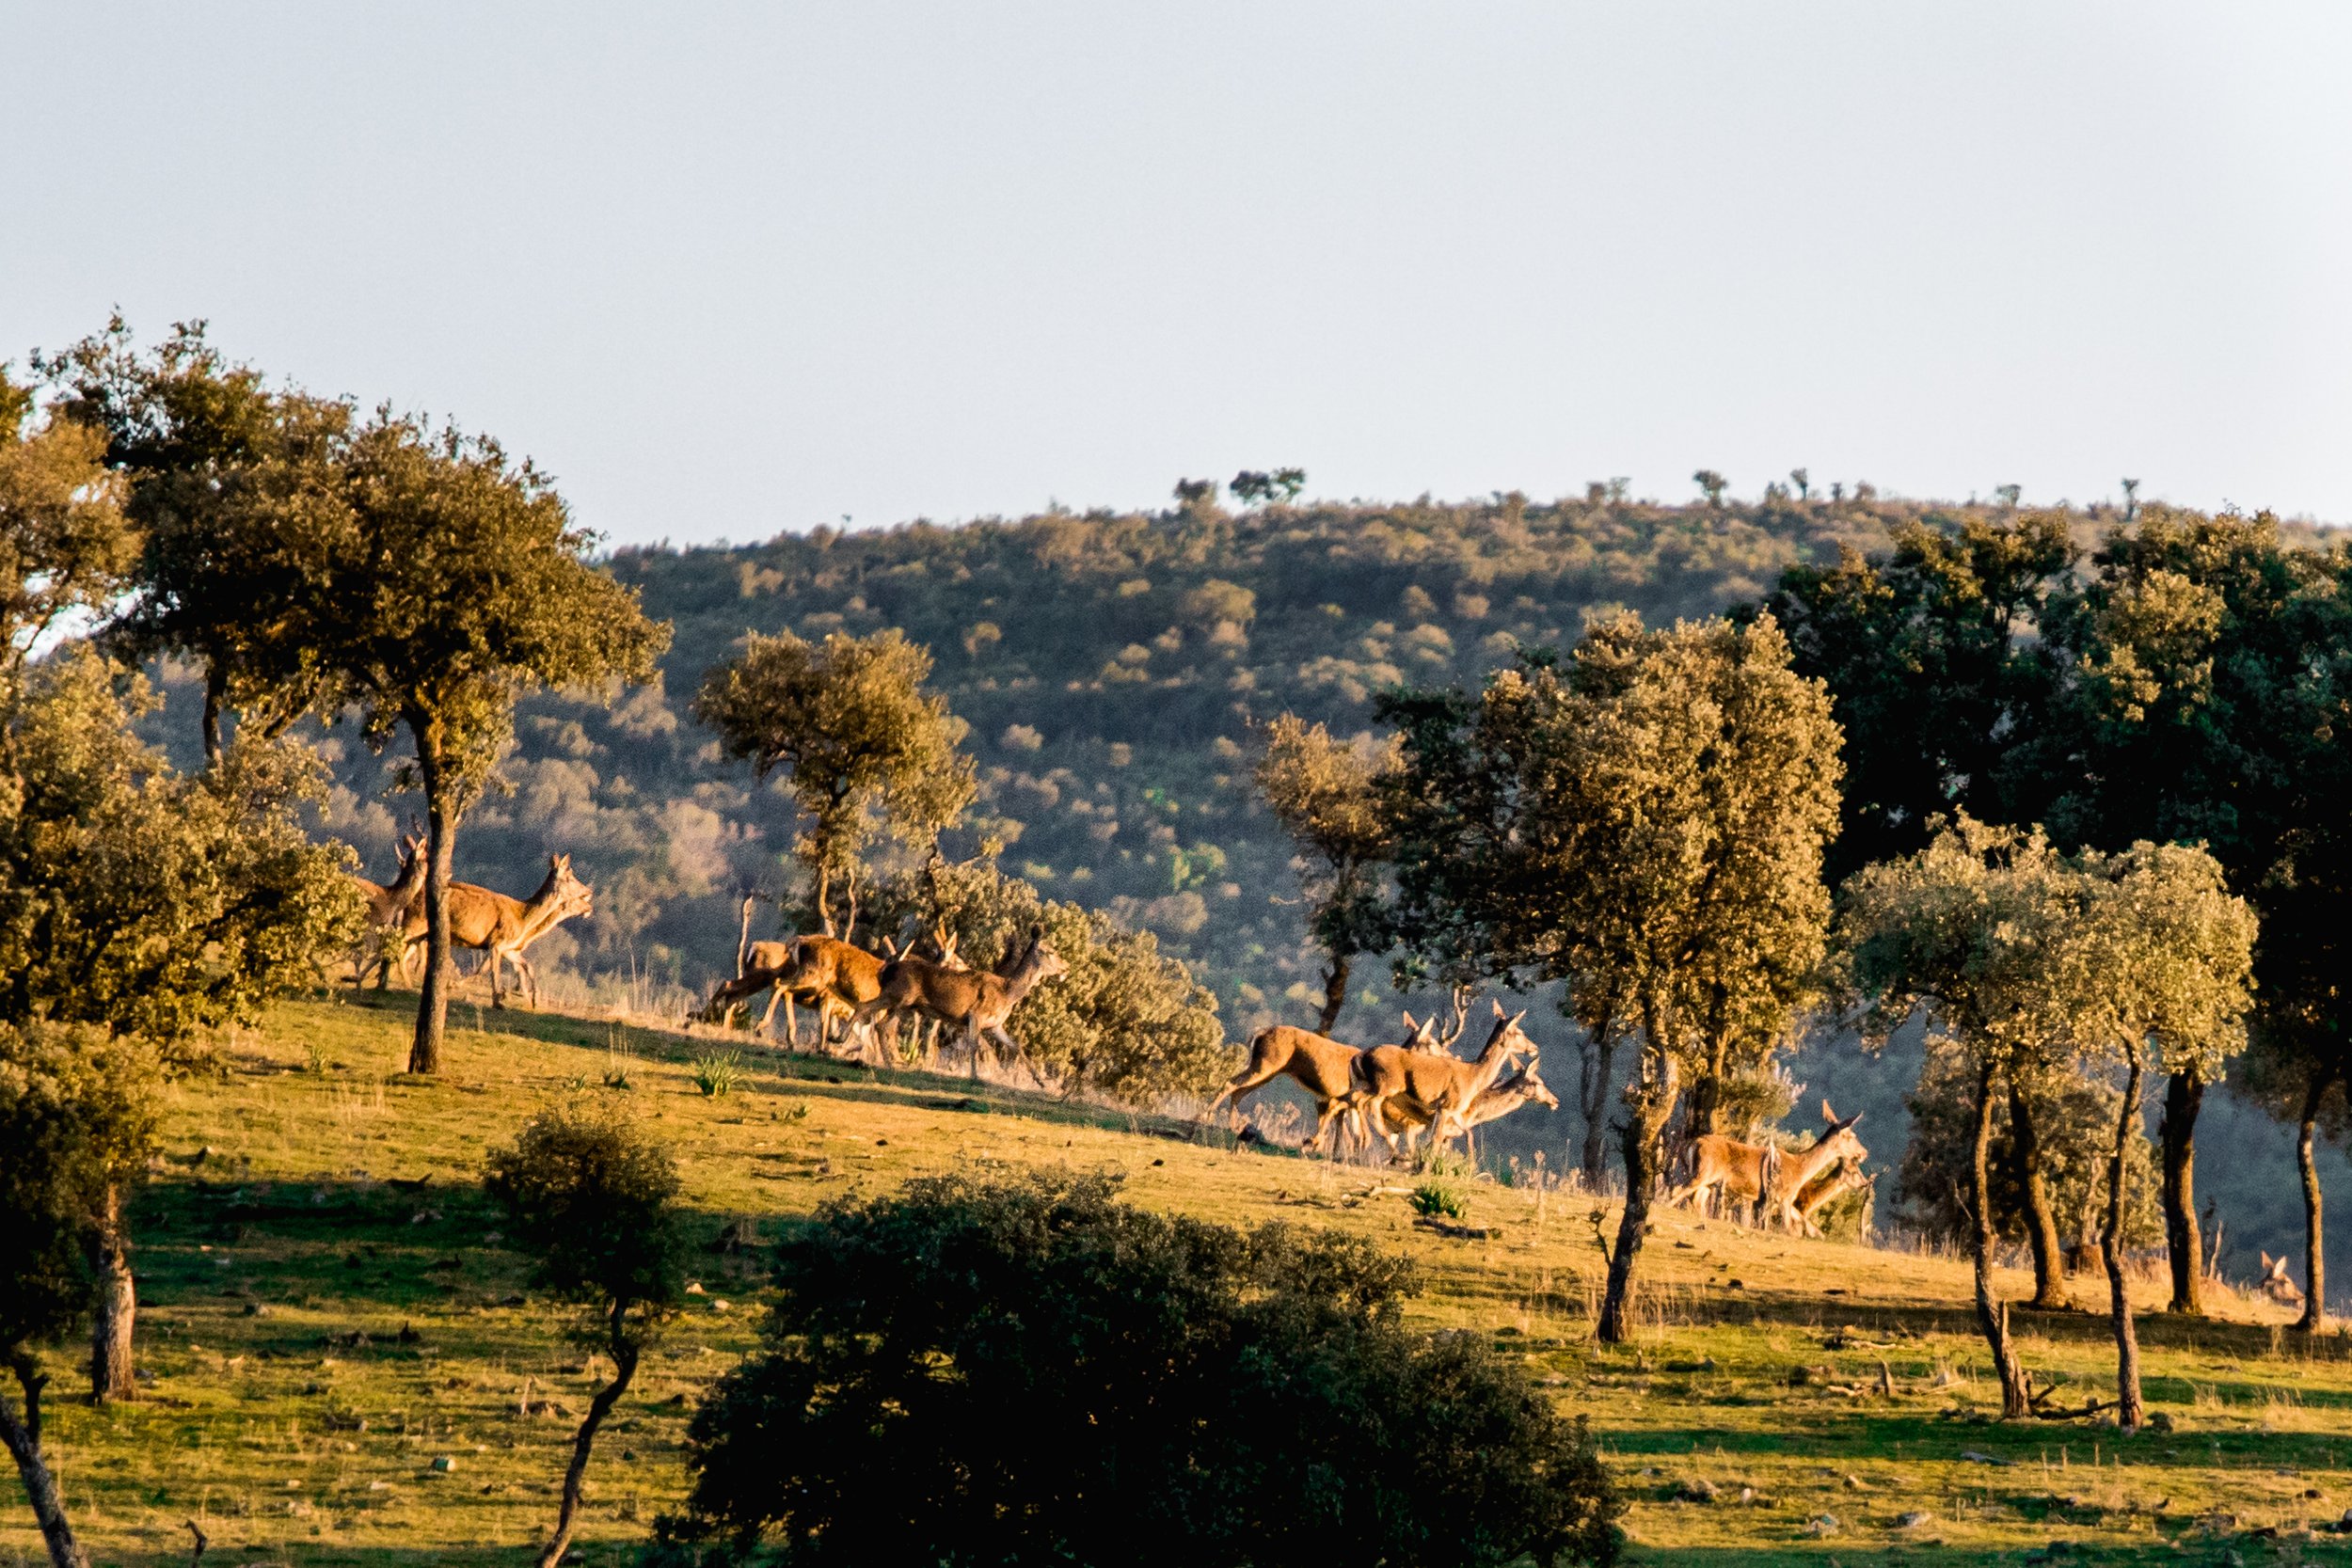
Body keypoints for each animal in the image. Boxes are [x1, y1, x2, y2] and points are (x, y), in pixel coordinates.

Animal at [400, 860, 593, 1006]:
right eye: (569, 878)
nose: (589, 895)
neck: (523, 920)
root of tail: (411, 897)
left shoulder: (509, 948)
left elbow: (526, 966)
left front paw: (533, 999)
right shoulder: (497, 942)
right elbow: (491, 971)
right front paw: (497, 1000)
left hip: (420, 933)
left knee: (405, 951)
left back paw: (407, 983)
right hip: (415, 923)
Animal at [856, 926, 1068, 1085]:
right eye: (1051, 951)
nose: (1066, 967)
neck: (1007, 993)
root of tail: (886, 969)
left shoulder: (995, 1025)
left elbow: (1016, 1046)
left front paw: (1040, 1082)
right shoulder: (976, 1014)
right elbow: (973, 1046)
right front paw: (974, 1077)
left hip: (902, 1005)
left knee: (876, 1020)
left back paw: (888, 1062)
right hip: (899, 997)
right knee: (871, 1016)